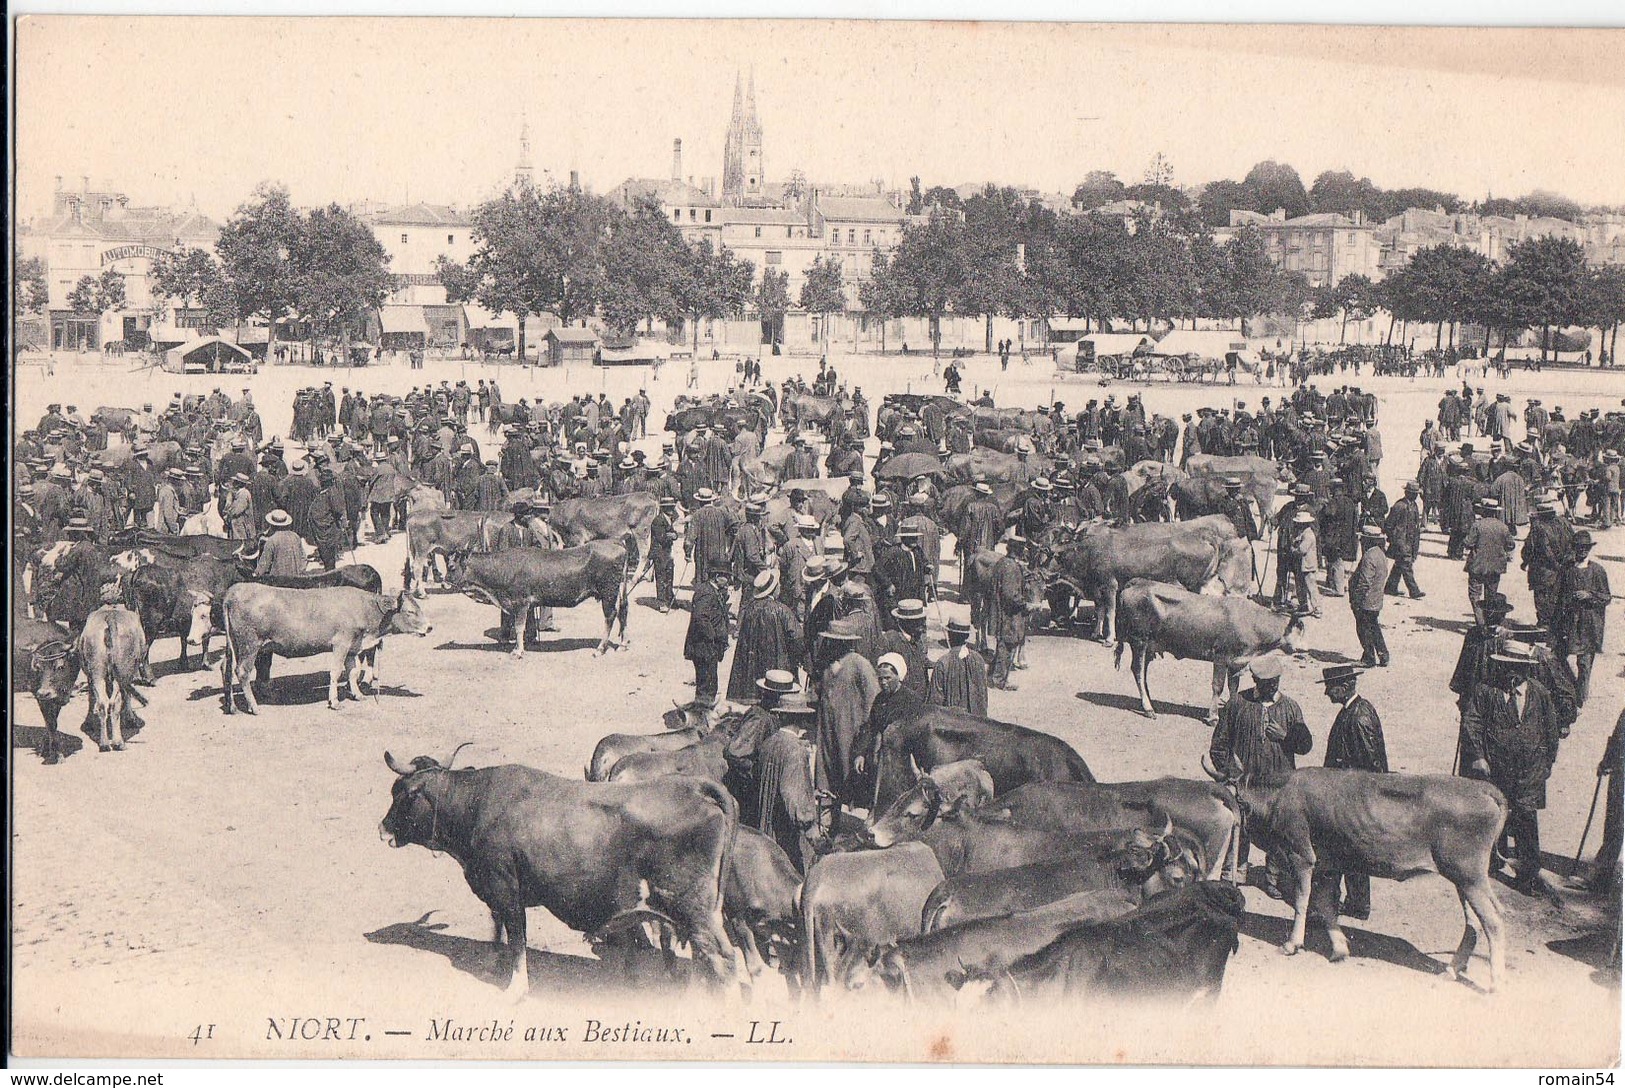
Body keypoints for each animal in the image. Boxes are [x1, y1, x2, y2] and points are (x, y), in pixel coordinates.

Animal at [225, 587, 438, 714]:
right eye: (410, 611)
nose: (429, 627)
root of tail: (235, 590)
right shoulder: (341, 643)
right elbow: (335, 672)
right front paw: (334, 701)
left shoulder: (353, 647)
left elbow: (353, 672)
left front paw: (357, 694)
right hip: (250, 644)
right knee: (242, 672)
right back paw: (254, 706)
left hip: (234, 644)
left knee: (227, 670)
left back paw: (232, 706)